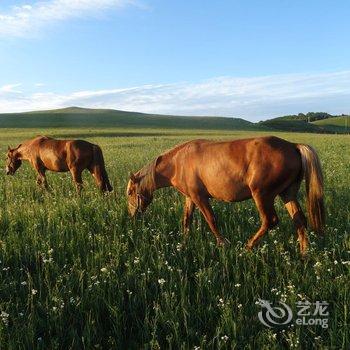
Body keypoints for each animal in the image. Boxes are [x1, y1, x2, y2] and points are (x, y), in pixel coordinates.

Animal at [126, 135, 326, 256]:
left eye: (129, 192)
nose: (132, 216)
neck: (178, 162)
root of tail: (293, 146)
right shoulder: (190, 198)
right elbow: (186, 220)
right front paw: (184, 242)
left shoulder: (200, 197)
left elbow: (211, 219)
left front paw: (222, 244)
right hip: (287, 194)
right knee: (299, 220)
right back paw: (304, 253)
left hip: (262, 195)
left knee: (270, 220)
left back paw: (248, 247)